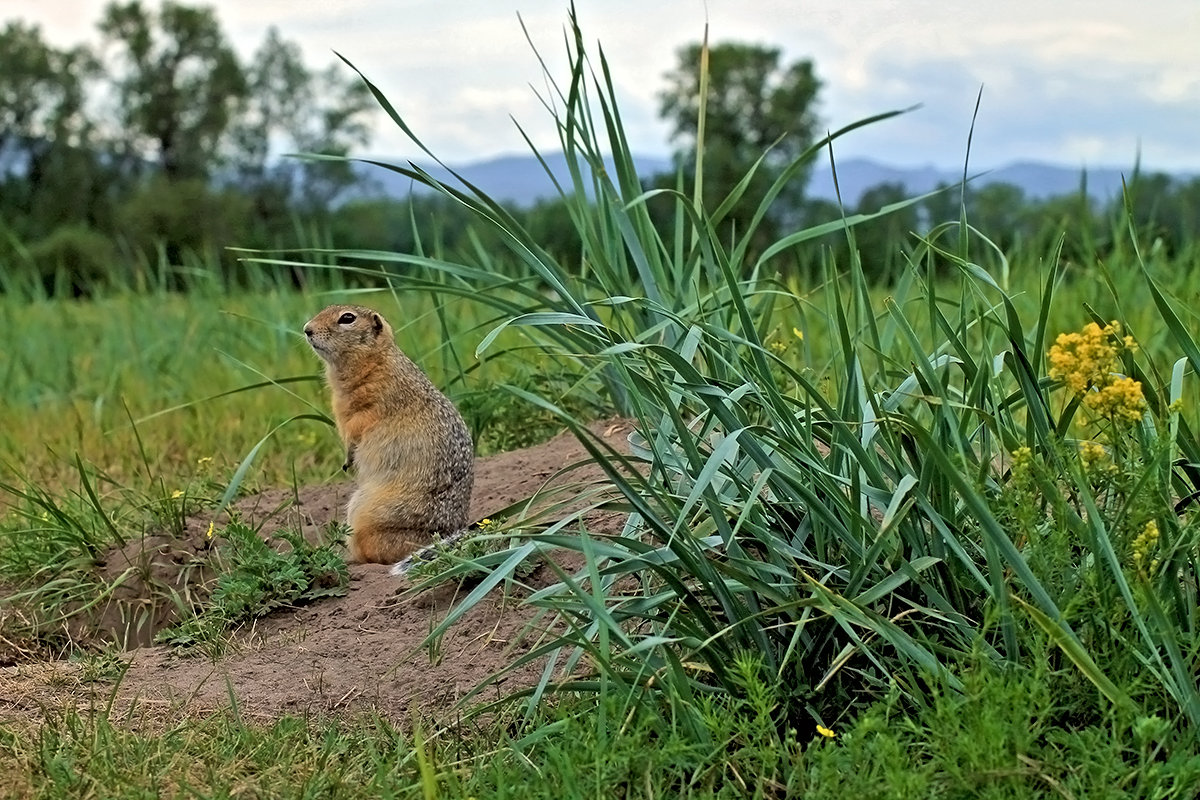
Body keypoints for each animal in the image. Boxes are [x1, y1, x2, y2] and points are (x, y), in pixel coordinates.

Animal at [302, 303, 475, 573]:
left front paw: (349, 458)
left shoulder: (371, 407)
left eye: (347, 318)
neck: (375, 361)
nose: (306, 329)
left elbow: (356, 430)